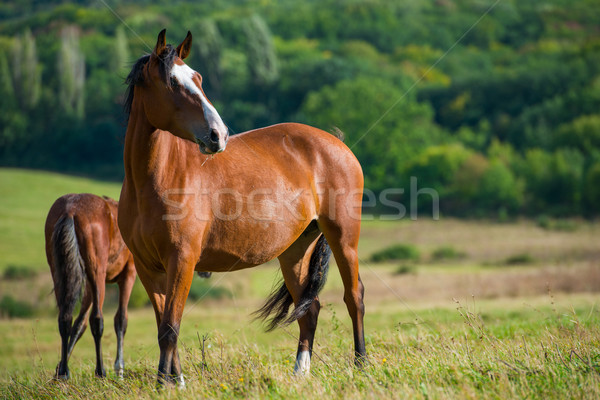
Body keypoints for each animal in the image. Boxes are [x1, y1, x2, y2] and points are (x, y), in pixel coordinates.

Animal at [45, 193, 137, 378]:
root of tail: (70, 210)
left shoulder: (87, 284)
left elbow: (79, 324)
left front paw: (59, 368)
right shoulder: (128, 275)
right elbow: (120, 320)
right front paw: (119, 369)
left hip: (59, 273)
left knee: (65, 318)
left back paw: (63, 373)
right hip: (97, 274)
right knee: (97, 319)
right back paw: (100, 371)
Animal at [116, 29, 360, 386]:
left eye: (198, 79)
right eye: (172, 82)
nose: (218, 135)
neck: (154, 180)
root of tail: (336, 142)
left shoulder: (182, 261)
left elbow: (171, 327)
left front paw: (167, 385)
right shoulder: (149, 268)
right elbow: (164, 325)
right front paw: (172, 380)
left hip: (344, 238)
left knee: (354, 297)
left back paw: (362, 364)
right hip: (295, 251)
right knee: (309, 309)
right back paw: (300, 373)